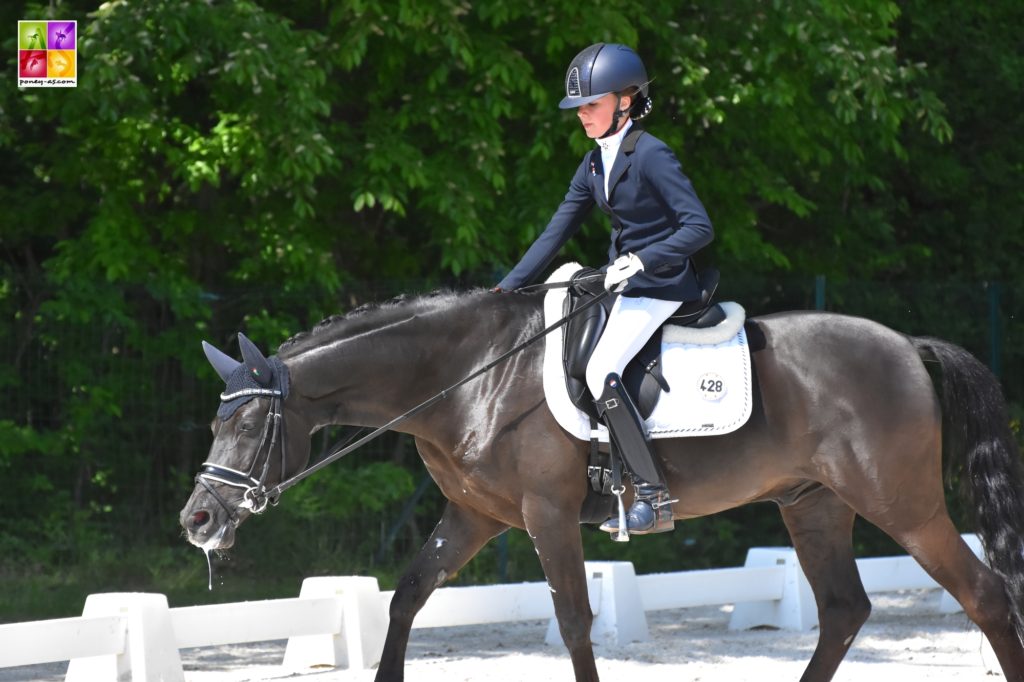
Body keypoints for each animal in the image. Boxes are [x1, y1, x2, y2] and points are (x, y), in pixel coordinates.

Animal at [180, 286, 1024, 679]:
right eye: (217, 422)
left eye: (247, 426)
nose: (198, 520)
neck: (468, 378)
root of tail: (908, 346)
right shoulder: (474, 515)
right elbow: (409, 595)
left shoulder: (545, 513)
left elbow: (576, 620)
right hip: (813, 507)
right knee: (845, 609)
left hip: (901, 503)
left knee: (984, 594)